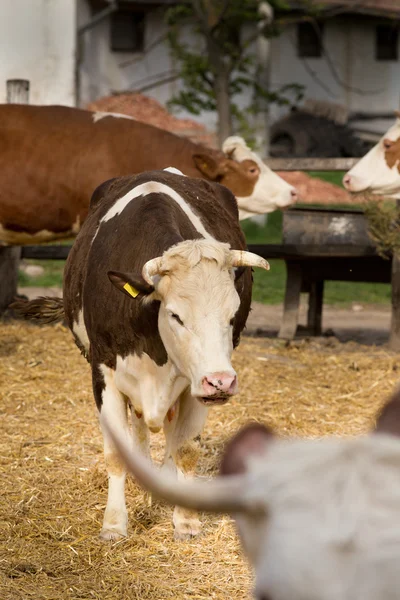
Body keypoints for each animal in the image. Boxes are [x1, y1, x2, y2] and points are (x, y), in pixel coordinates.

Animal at [13, 168, 268, 540]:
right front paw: (114, 524)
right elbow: (116, 453)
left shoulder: (195, 384)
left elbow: (186, 449)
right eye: (176, 316)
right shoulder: (104, 375)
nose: (221, 381)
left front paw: (186, 520)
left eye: (233, 315)